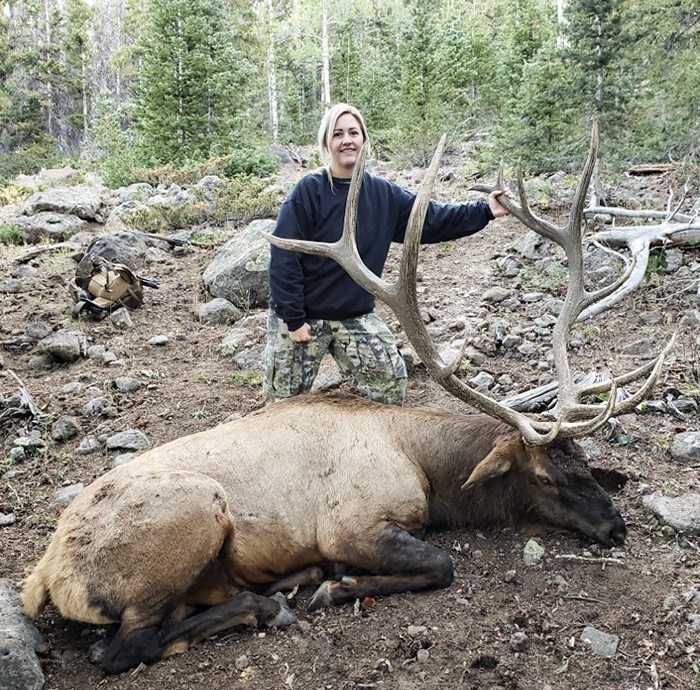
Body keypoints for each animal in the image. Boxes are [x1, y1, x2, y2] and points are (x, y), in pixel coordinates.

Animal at [22, 125, 673, 674]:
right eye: (545, 477)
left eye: (585, 464)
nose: (616, 528)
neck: (429, 471)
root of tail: (46, 575)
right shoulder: (351, 525)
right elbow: (442, 564)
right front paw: (339, 586)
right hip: (193, 510)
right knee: (126, 648)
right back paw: (271, 603)